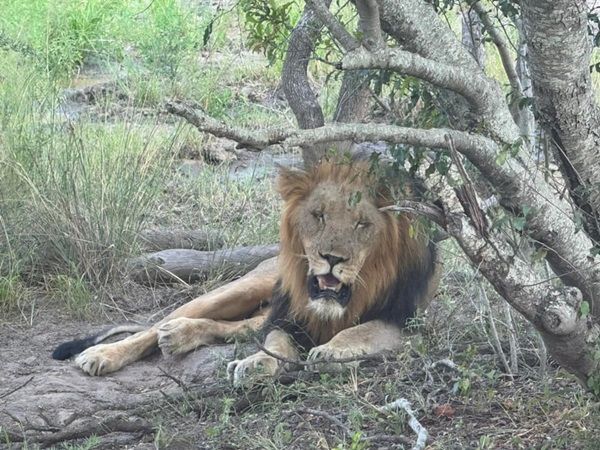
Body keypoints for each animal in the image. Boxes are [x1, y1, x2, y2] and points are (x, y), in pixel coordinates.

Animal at [52, 159, 440, 384]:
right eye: (318, 216)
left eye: (362, 224)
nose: (331, 257)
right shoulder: (286, 316)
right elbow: (275, 344)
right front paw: (255, 364)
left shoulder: (408, 322)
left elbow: (361, 331)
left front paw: (331, 352)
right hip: (241, 288)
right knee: (154, 327)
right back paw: (105, 354)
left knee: (235, 328)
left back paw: (179, 335)